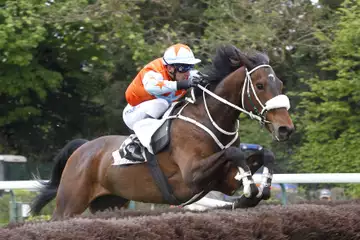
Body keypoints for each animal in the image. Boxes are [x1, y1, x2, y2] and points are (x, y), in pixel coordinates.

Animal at [31, 44, 294, 219]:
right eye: (260, 85)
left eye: (280, 84)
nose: (285, 129)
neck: (208, 120)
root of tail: (83, 148)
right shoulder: (191, 177)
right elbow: (235, 154)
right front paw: (250, 187)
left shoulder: (222, 181)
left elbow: (263, 154)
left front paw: (261, 186)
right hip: (69, 204)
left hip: (109, 203)